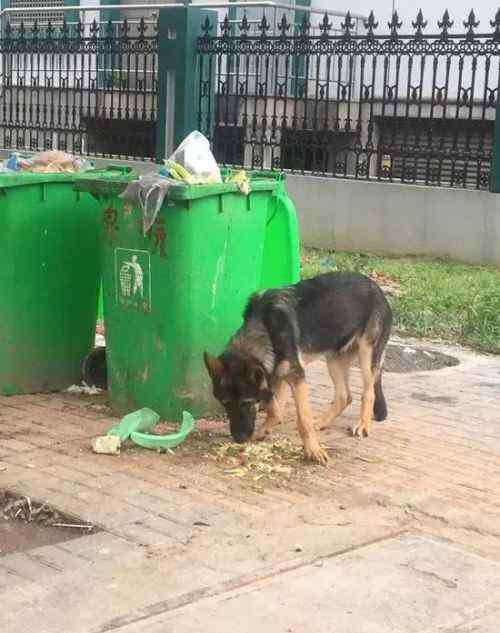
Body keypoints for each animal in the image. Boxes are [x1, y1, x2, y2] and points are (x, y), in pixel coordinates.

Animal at [203, 272, 390, 464]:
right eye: (225, 403)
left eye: (246, 402)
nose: (239, 439)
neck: (265, 327)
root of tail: (377, 288)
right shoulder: (276, 374)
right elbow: (276, 409)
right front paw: (264, 430)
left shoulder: (296, 376)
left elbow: (303, 419)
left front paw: (313, 450)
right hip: (334, 361)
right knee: (344, 396)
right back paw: (321, 422)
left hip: (366, 355)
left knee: (368, 393)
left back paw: (363, 424)